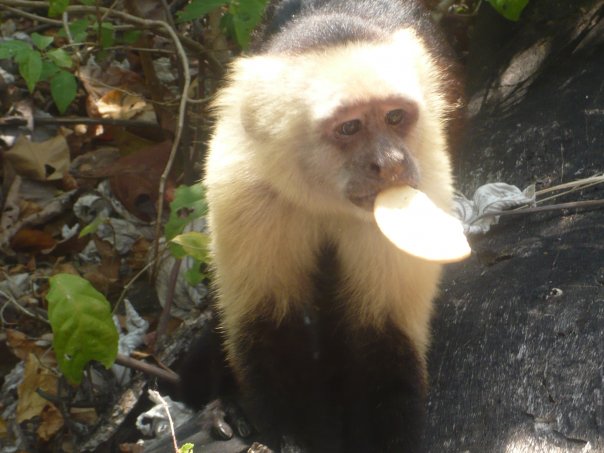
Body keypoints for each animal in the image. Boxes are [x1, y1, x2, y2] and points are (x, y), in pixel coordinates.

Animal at [179, 0, 462, 452]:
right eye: (349, 127)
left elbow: (383, 337)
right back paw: (227, 405)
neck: (326, 200)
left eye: (395, 117)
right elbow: (269, 326)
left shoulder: (425, 182)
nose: (391, 164)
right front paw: (293, 438)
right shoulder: (246, 187)